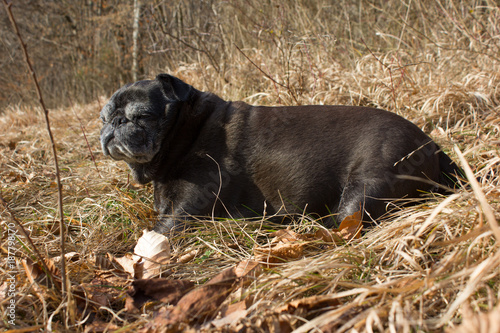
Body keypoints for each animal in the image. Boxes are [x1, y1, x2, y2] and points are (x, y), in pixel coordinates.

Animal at [98, 74, 460, 232]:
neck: (188, 132)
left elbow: (158, 231)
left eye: (142, 115)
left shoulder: (189, 206)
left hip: (366, 185)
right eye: (103, 117)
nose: (114, 123)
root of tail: (432, 146)